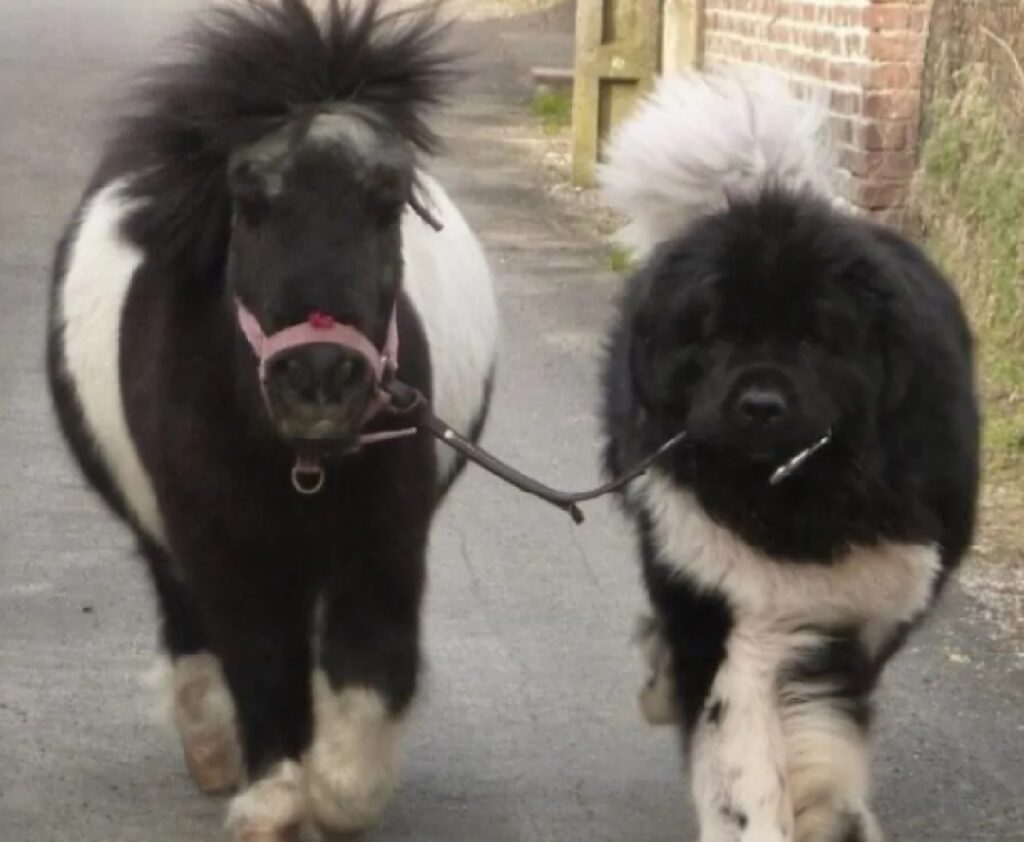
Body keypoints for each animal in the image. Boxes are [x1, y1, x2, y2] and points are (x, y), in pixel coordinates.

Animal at [598, 70, 983, 842]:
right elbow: (743, 751)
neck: (799, 499)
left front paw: (828, 808)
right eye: (716, 335)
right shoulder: (736, 600)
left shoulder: (866, 602)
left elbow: (821, 727)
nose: (760, 404)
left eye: (813, 338)